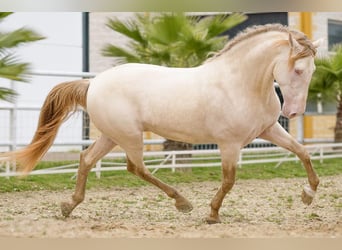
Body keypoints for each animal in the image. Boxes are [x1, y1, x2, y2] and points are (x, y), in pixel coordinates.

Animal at [0, 23, 322, 224]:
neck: (239, 84)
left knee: (87, 159)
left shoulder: (269, 129)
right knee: (136, 167)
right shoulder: (229, 144)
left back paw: (69, 206)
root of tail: (92, 84)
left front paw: (308, 195)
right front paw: (212, 214)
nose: (294, 112)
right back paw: (182, 202)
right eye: (297, 69)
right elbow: (229, 181)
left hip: (112, 136)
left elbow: (303, 152)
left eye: (312, 70)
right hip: (129, 135)